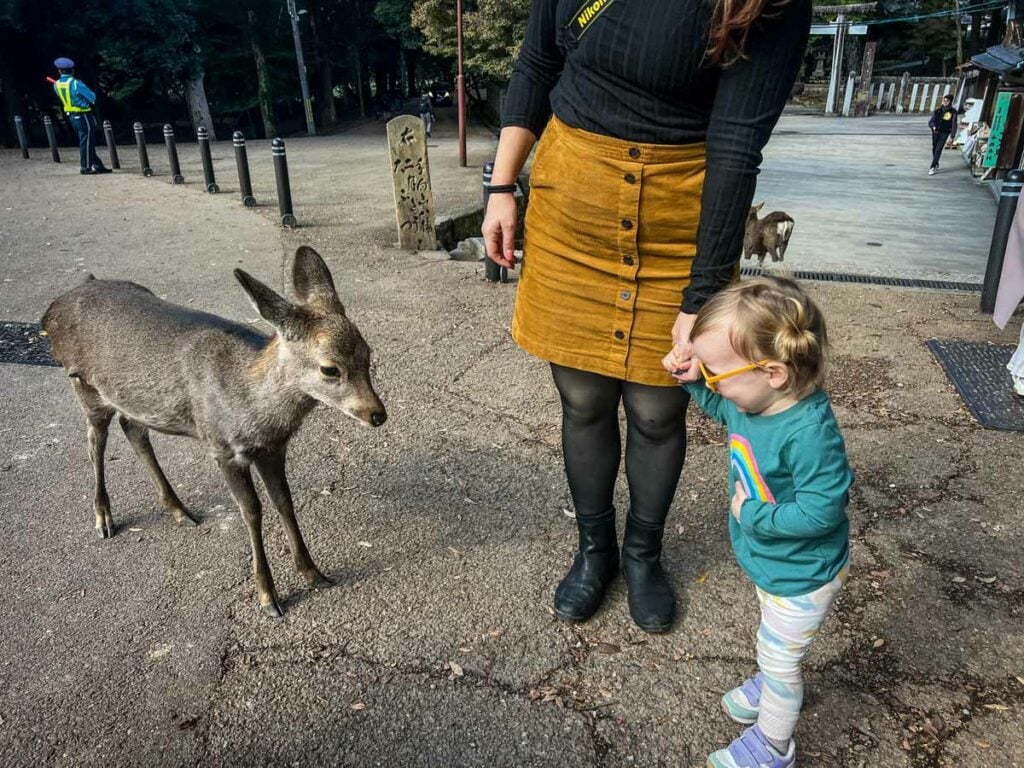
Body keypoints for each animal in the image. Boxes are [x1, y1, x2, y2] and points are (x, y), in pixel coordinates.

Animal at [40, 246, 387, 618]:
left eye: (367, 352)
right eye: (329, 368)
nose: (377, 414)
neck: (250, 405)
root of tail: (52, 310)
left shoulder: (272, 449)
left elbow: (284, 502)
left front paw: (313, 572)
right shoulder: (222, 447)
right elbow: (252, 512)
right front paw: (268, 597)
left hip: (131, 398)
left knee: (132, 427)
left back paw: (178, 509)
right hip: (84, 384)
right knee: (96, 441)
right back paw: (103, 518)